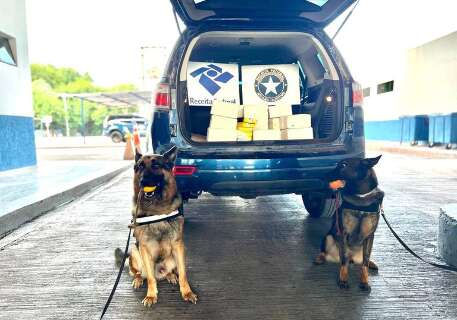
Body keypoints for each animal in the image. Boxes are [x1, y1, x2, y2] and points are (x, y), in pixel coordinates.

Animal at [115, 146, 197, 306]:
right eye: (140, 166)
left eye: (156, 165)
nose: (143, 181)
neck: (156, 209)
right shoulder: (144, 247)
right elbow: (151, 279)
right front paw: (151, 295)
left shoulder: (178, 245)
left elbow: (183, 274)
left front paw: (187, 292)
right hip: (134, 251)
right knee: (141, 273)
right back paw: (138, 280)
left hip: (173, 257)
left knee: (169, 272)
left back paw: (170, 276)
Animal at [314, 156, 382, 292]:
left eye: (344, 165)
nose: (323, 175)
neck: (360, 197)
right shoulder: (344, 233)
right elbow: (344, 260)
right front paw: (343, 280)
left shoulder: (370, 236)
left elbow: (365, 261)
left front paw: (364, 282)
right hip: (328, 237)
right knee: (326, 252)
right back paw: (320, 258)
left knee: (363, 260)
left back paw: (371, 263)